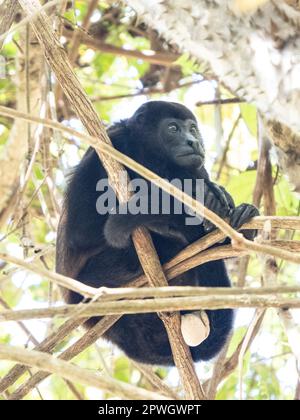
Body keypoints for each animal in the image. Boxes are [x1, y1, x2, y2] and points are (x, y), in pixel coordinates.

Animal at [55, 101, 258, 364]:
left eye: (193, 128)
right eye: (173, 128)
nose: (194, 141)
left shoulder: (198, 167)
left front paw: (221, 200)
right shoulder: (107, 149)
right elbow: (80, 231)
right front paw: (199, 194)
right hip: (98, 276)